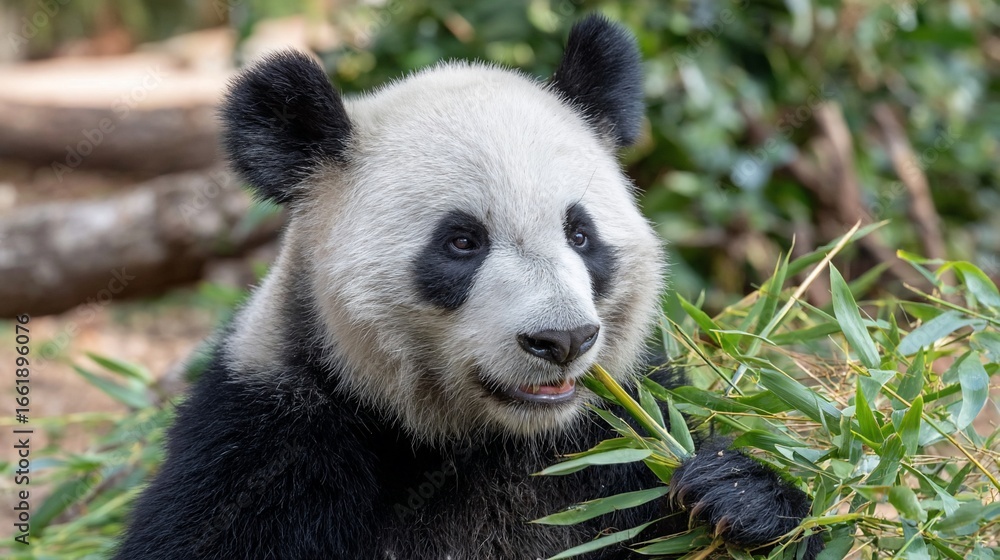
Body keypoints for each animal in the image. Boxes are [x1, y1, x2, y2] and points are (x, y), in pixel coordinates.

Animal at [115, 15, 821, 560]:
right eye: (462, 242)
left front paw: (738, 495)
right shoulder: (271, 437)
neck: (491, 439)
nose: (563, 340)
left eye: (580, 233)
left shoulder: (616, 436)